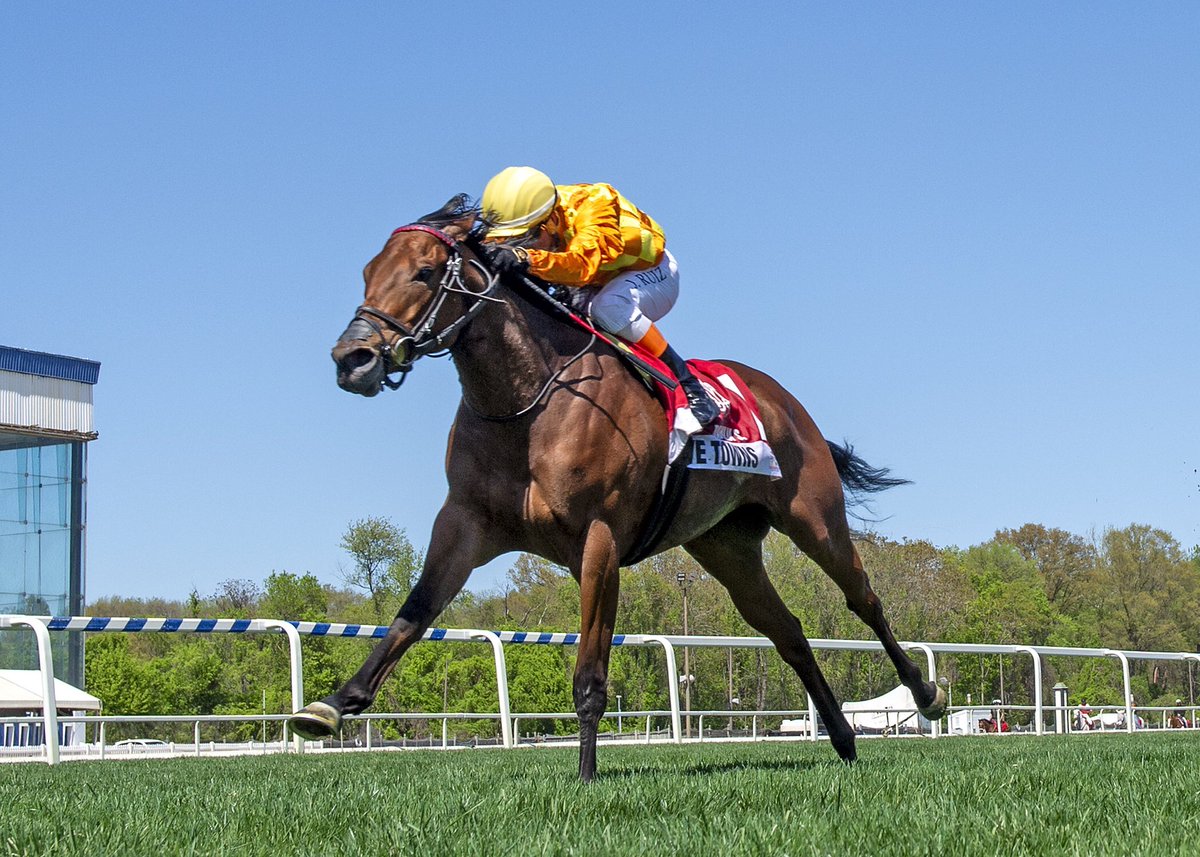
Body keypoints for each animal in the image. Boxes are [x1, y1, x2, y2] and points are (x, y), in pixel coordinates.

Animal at [292, 198, 945, 772]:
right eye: (368, 272)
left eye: (425, 272)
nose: (352, 358)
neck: (527, 404)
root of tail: (780, 398)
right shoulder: (465, 523)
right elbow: (414, 613)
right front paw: (331, 706)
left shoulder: (599, 537)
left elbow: (590, 672)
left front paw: (585, 777)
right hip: (726, 547)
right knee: (787, 631)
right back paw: (843, 739)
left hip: (814, 518)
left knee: (863, 599)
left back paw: (925, 693)